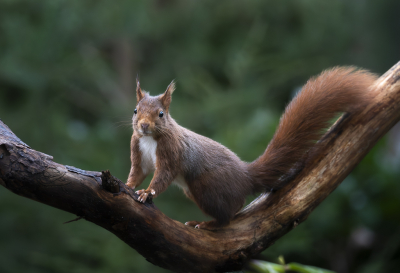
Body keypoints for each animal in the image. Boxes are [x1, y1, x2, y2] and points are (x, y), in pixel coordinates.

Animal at [126, 67, 376, 228]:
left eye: (161, 114)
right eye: (136, 110)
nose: (144, 125)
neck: (150, 139)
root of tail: (246, 176)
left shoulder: (171, 151)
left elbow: (164, 175)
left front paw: (147, 192)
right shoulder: (137, 150)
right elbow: (137, 172)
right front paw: (128, 185)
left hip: (206, 186)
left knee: (229, 214)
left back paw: (207, 224)